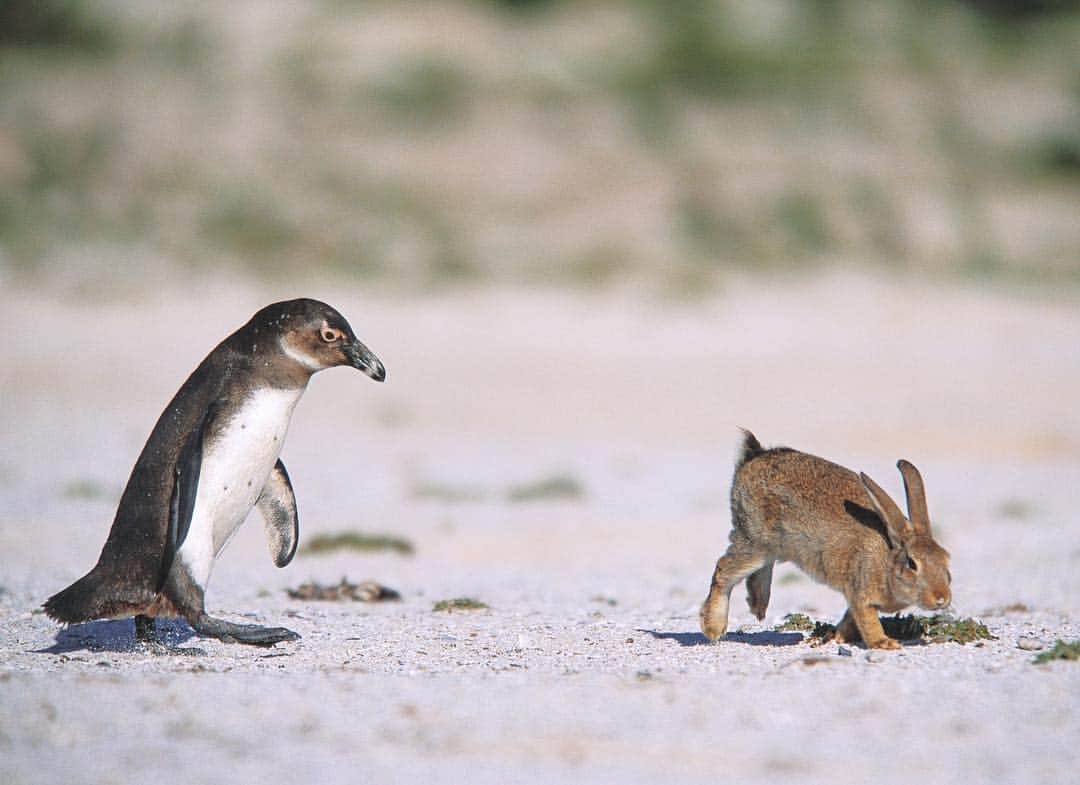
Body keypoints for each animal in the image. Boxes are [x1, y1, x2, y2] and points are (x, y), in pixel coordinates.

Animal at [700, 430, 951, 650]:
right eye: (912, 564)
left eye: (947, 561)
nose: (942, 598)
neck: (887, 560)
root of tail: (753, 457)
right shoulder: (859, 592)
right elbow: (867, 620)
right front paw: (883, 643)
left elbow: (849, 620)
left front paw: (833, 638)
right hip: (756, 540)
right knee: (724, 571)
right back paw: (714, 627)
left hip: (768, 546)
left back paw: (758, 605)